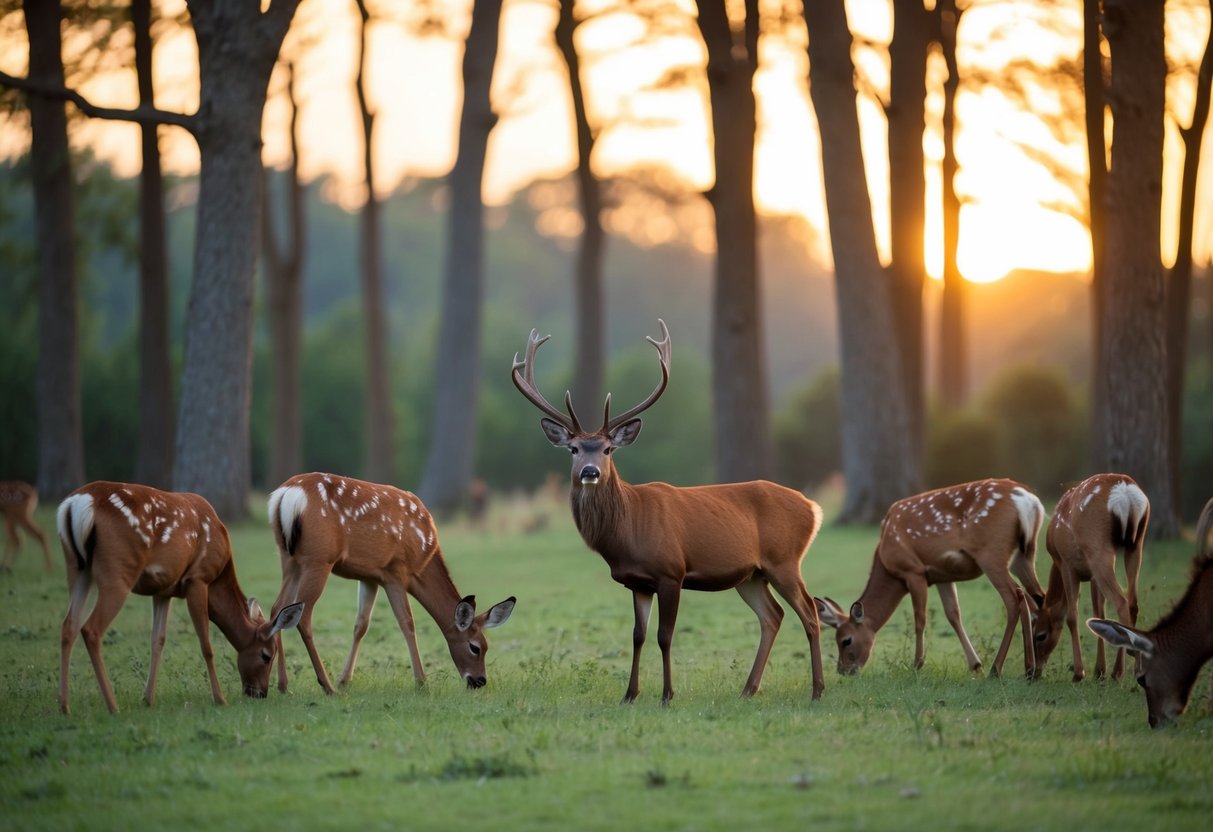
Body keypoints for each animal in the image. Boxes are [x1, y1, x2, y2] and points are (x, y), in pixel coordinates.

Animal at [55, 481, 304, 715]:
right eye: (266, 655)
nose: (259, 693)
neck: (219, 573)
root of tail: (75, 504)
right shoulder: (197, 579)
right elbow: (206, 645)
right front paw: (220, 698)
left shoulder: (164, 590)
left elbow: (158, 639)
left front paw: (148, 699)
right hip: (118, 569)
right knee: (91, 629)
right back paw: (113, 706)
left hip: (77, 568)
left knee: (68, 625)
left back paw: (65, 706)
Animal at [267, 473, 516, 695]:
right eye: (475, 647)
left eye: (486, 646)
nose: (480, 680)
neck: (423, 561)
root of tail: (287, 494)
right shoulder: (395, 571)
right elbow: (407, 622)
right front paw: (421, 682)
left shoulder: (369, 575)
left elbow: (361, 625)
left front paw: (345, 680)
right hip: (319, 558)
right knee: (303, 616)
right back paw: (326, 685)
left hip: (289, 557)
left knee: (279, 609)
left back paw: (283, 685)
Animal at [512, 319, 826, 705]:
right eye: (573, 449)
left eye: (607, 449)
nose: (590, 472)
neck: (627, 530)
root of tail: (813, 507)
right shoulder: (637, 582)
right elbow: (638, 635)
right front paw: (629, 695)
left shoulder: (671, 571)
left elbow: (665, 635)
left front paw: (667, 695)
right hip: (752, 575)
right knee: (773, 616)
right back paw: (748, 689)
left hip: (785, 560)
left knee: (810, 613)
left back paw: (817, 689)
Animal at [814, 479, 1046, 678]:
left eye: (846, 640)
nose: (843, 670)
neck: (887, 563)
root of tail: (1027, 500)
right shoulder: (943, 575)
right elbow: (953, 614)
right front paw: (975, 665)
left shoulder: (914, 571)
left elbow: (920, 619)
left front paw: (917, 665)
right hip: (1024, 555)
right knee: (1036, 597)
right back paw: (1030, 669)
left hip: (991, 553)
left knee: (1014, 598)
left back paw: (997, 669)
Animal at [1032, 473, 1148, 682]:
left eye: (1040, 635)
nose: (1032, 673)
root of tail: (1125, 490)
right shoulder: (1091, 574)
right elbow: (1098, 613)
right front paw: (1099, 670)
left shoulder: (1066, 564)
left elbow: (1071, 616)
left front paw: (1080, 673)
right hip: (1135, 545)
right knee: (1133, 602)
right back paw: (1134, 669)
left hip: (1098, 548)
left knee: (1121, 601)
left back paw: (1121, 668)